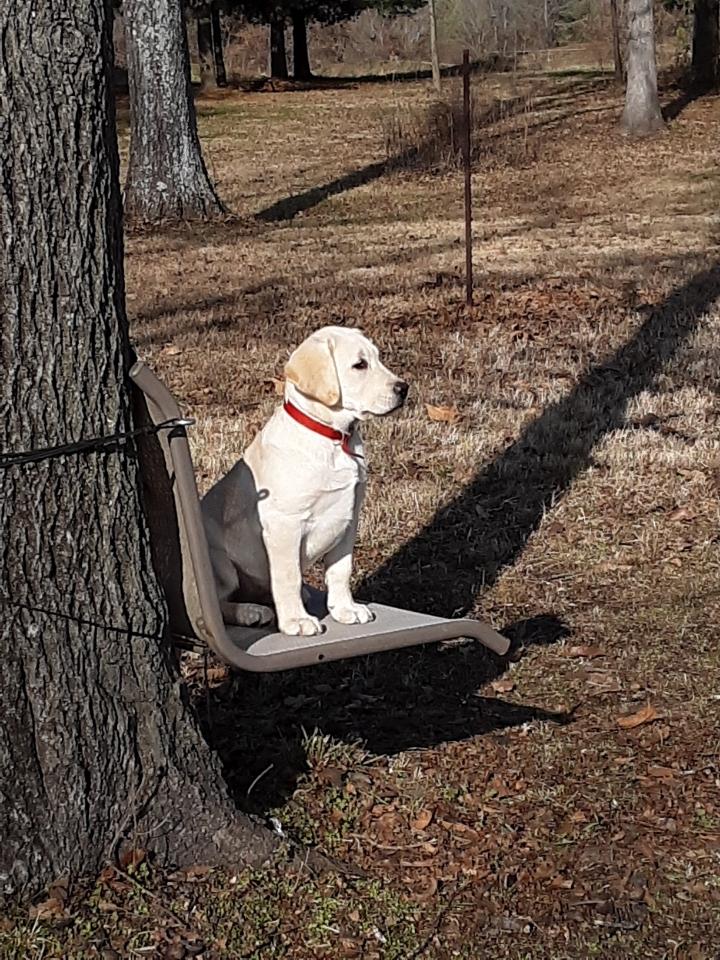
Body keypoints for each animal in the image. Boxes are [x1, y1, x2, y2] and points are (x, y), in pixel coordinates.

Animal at [200, 326, 408, 632]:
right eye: (360, 365)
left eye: (378, 358)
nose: (404, 388)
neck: (333, 438)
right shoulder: (284, 524)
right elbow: (289, 576)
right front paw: (296, 621)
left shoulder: (349, 518)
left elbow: (340, 570)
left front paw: (345, 609)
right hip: (221, 564)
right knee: (216, 604)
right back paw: (250, 612)